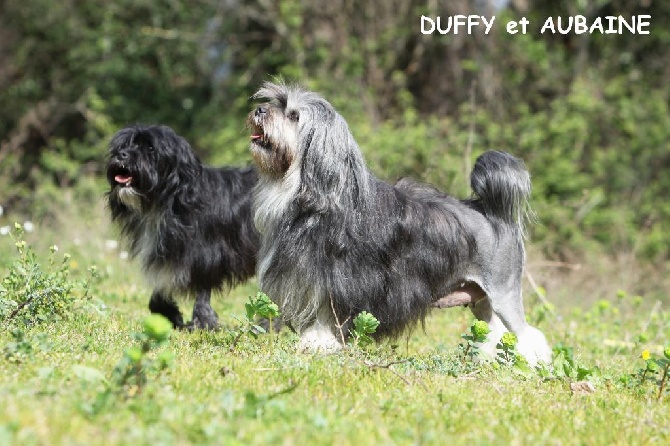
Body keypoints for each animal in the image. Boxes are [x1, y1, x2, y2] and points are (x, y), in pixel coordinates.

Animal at [107, 123, 260, 330]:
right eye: (124, 145)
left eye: (150, 148)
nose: (121, 154)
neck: (171, 198)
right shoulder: (167, 252)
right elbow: (160, 289)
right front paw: (169, 314)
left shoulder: (206, 254)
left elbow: (202, 290)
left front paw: (202, 322)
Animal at [247, 82, 552, 364]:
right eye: (275, 103)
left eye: (294, 116)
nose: (260, 110)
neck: (315, 195)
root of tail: (493, 212)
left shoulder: (332, 285)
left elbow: (323, 319)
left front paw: (319, 346)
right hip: (481, 299)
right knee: (495, 331)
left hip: (503, 292)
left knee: (527, 335)